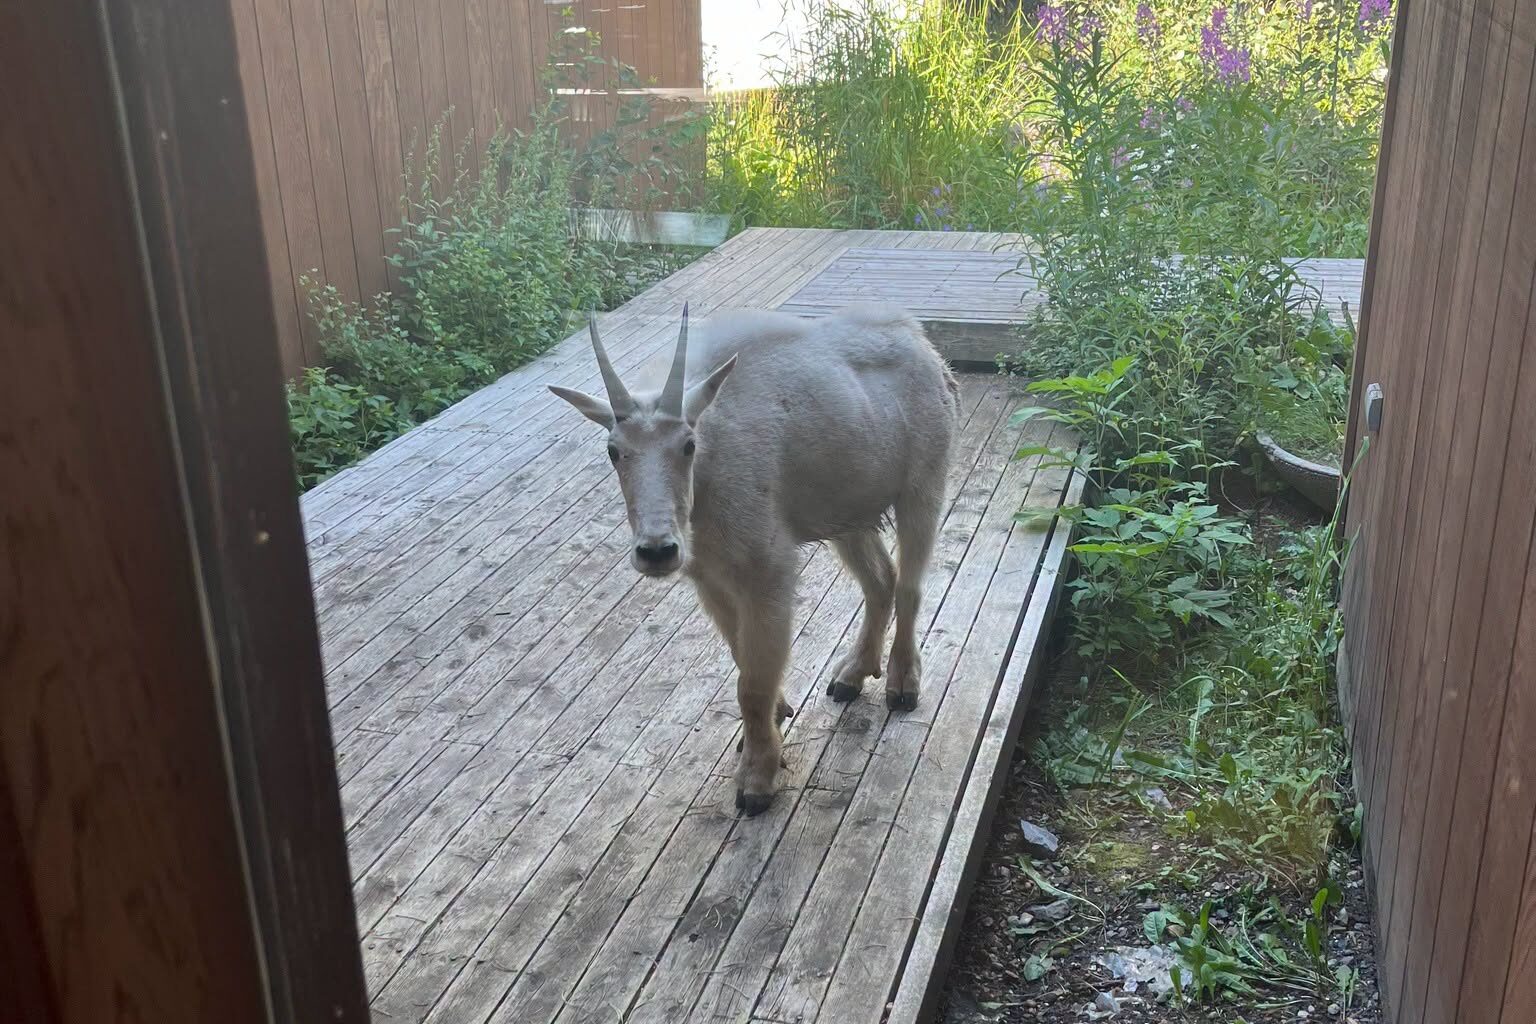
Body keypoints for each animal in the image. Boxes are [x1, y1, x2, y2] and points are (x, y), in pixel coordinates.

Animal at [550, 304, 958, 815]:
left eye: (688, 444)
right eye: (613, 451)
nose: (657, 551)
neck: (706, 479)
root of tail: (925, 346)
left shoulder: (767, 572)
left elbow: (753, 684)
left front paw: (757, 779)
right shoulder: (710, 578)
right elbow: (742, 659)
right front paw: (774, 721)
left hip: (923, 486)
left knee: (909, 584)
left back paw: (902, 684)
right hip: (849, 512)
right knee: (880, 580)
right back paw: (851, 675)